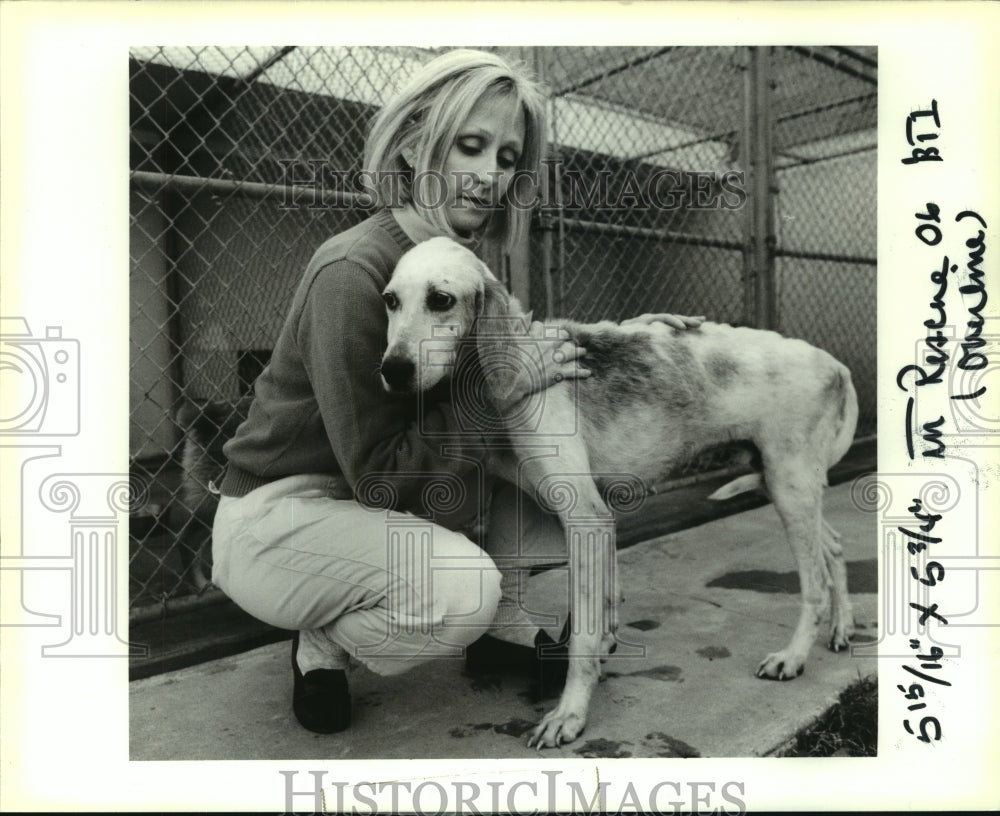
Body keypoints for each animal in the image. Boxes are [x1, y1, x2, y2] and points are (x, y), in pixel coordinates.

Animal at [376, 234, 860, 744]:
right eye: (390, 300)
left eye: (441, 299)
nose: (393, 370)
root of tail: (833, 363)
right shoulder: (592, 517)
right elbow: (605, 603)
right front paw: (603, 650)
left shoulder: (585, 516)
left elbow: (584, 635)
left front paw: (570, 714)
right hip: (783, 484)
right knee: (833, 545)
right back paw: (842, 628)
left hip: (790, 487)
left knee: (815, 583)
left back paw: (795, 656)